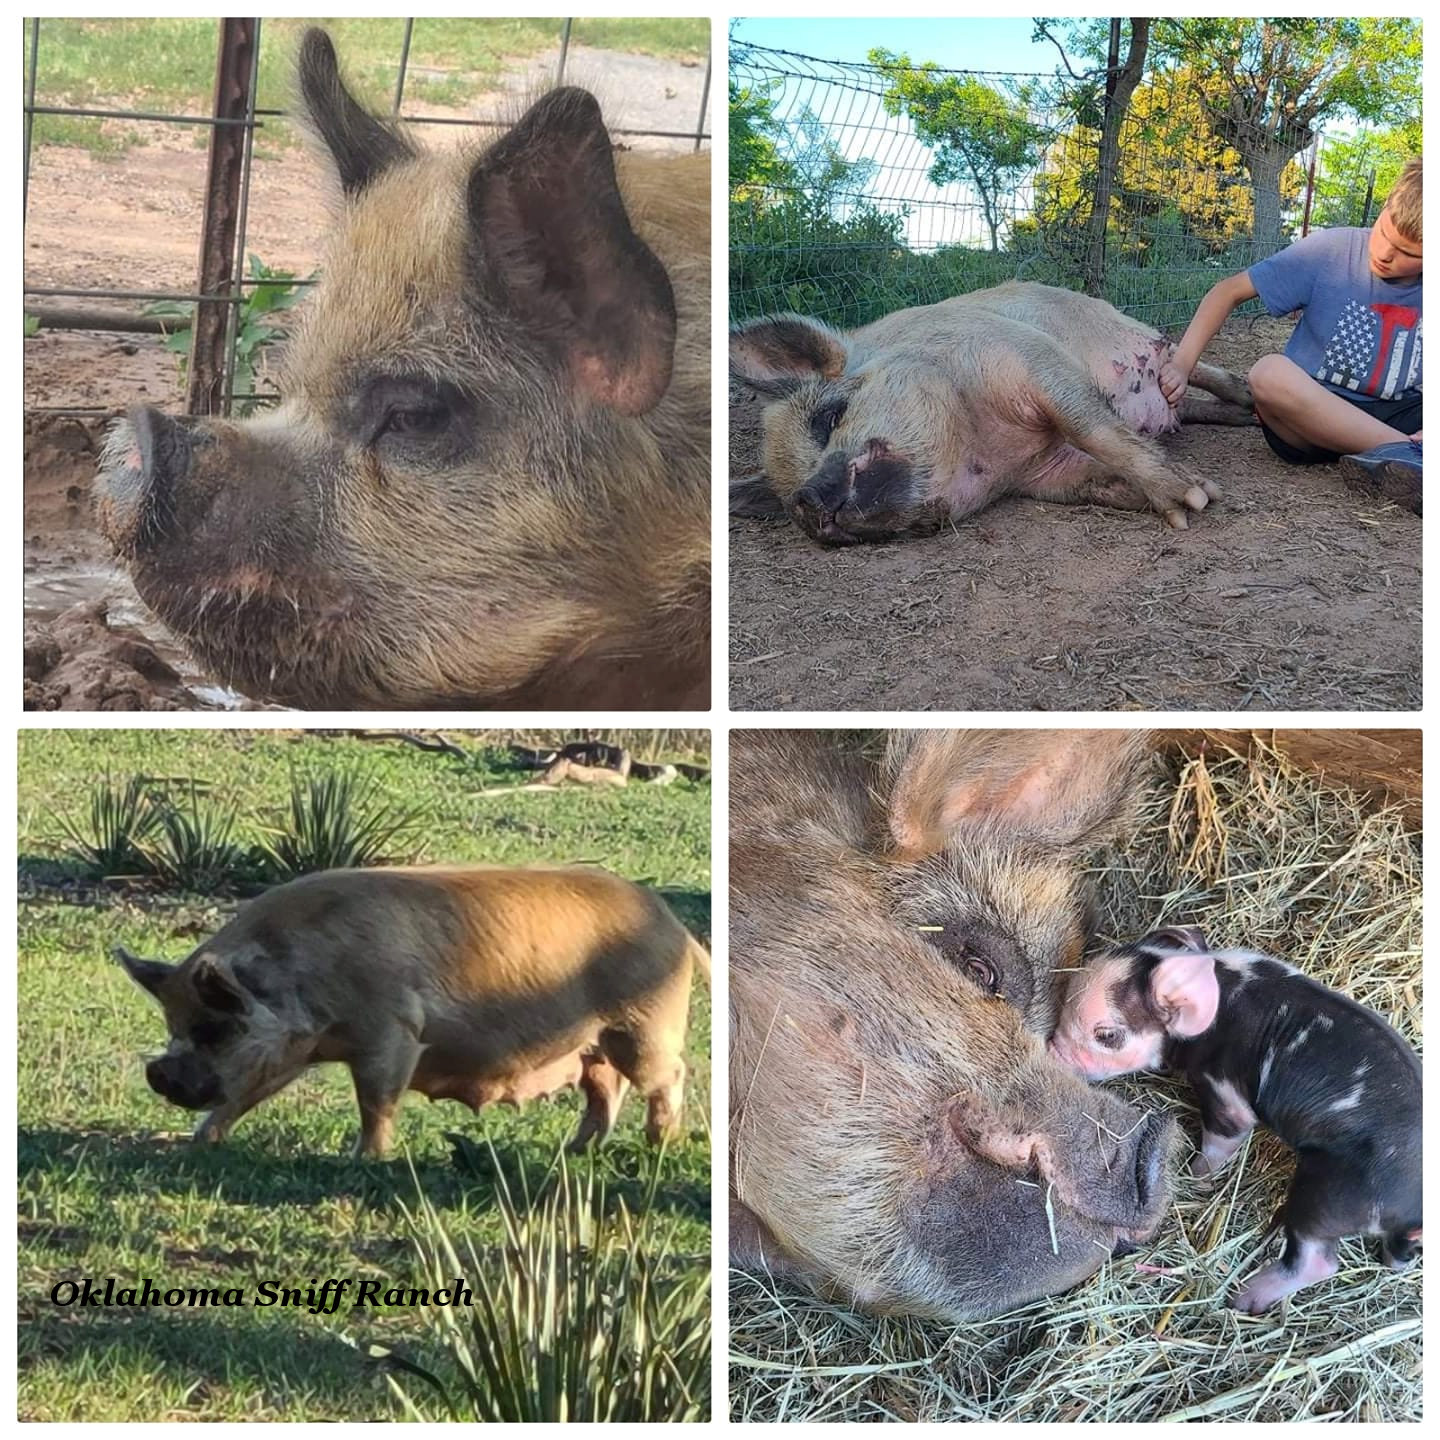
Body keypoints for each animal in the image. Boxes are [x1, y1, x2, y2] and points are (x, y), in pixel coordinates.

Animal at [116, 863, 708, 1156]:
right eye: (172, 1025)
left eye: (213, 1027)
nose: (158, 1072)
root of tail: (677, 929)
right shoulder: (290, 1051)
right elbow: (245, 1096)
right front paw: (197, 1143)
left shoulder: (394, 1029)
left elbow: (376, 1100)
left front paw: (365, 1158)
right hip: (596, 1043)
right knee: (605, 1089)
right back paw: (577, 1150)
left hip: (644, 1027)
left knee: (670, 1075)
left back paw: (659, 1145)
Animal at [730, 280, 1252, 544]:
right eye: (785, 502)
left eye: (829, 418)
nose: (807, 499)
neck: (984, 446)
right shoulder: (1043, 474)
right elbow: (1101, 480)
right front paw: (1193, 493)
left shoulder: (1027, 357)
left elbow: (1092, 425)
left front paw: (1197, 498)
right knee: (1188, 407)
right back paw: (1245, 417)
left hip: (1144, 336)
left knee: (1190, 367)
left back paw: (1247, 396)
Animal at [1049, 925, 1423, 1312]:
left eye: (1107, 1035)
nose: (1049, 1050)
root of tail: (1413, 1206)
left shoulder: (1224, 1089)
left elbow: (1226, 1133)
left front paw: (1196, 1176)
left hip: (1329, 1196)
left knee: (1316, 1260)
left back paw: (1242, 1299)